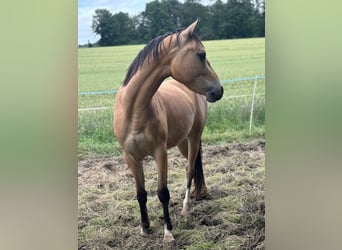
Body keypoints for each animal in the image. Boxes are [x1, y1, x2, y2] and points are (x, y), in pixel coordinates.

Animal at [113, 19, 223, 242]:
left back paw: (186, 208)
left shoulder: (160, 153)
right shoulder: (131, 157)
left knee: (190, 169)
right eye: (202, 54)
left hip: (194, 137)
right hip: (182, 142)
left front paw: (168, 232)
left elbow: (162, 192)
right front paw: (145, 227)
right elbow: (141, 193)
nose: (219, 90)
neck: (134, 112)